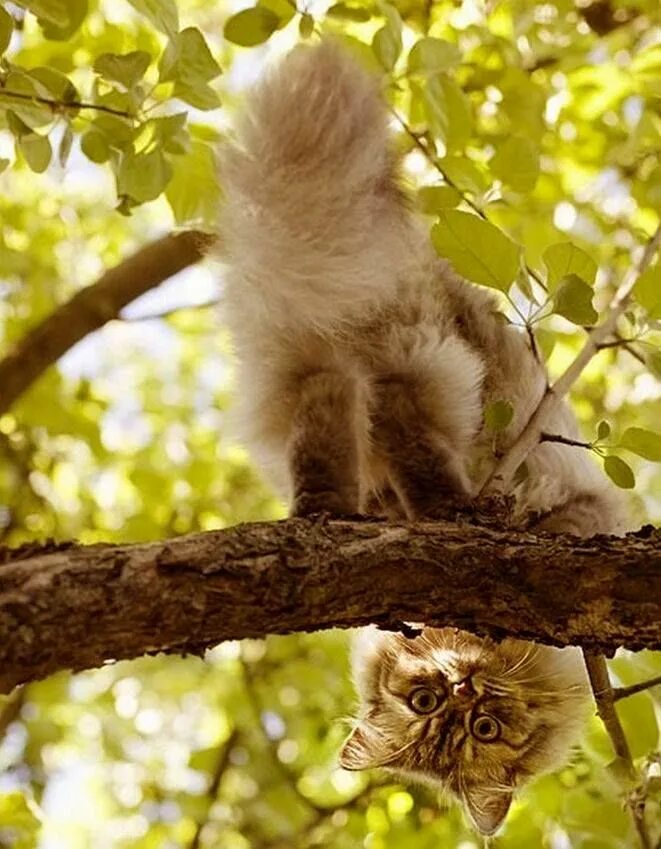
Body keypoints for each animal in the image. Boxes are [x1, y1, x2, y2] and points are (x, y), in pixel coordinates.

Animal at [219, 41, 628, 836]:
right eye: (425, 705)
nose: (460, 685)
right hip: (417, 363)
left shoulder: (584, 501)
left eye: (483, 728)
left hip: (336, 358)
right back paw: (442, 514)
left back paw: (333, 513)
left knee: (340, 419)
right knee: (400, 425)